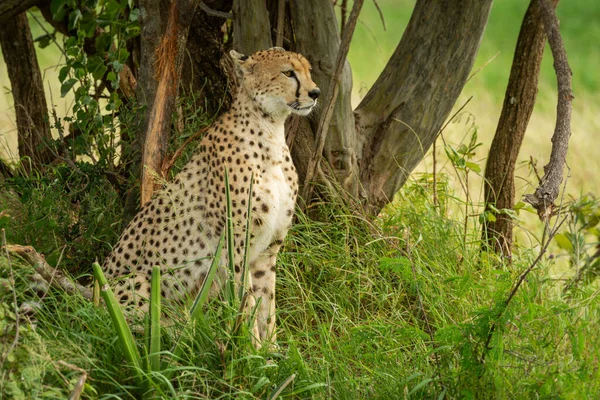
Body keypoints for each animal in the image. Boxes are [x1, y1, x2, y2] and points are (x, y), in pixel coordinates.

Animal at [103, 47, 318, 346]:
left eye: (308, 71)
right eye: (288, 73)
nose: (315, 92)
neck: (270, 132)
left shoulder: (266, 252)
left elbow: (267, 305)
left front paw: (272, 351)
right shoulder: (235, 249)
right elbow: (246, 304)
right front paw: (251, 349)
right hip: (136, 282)